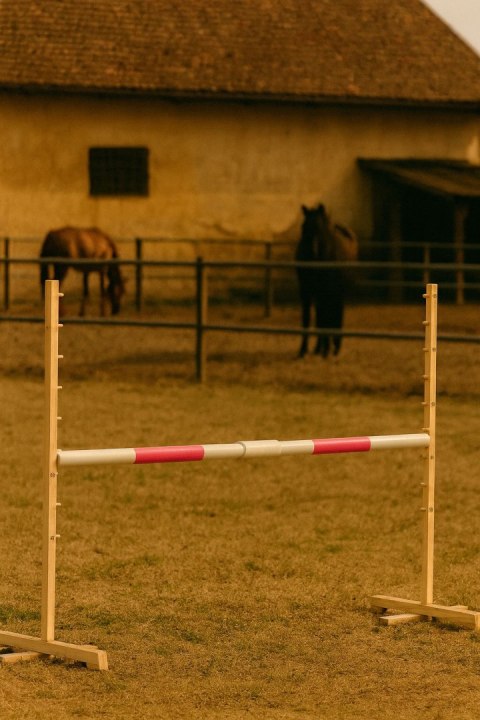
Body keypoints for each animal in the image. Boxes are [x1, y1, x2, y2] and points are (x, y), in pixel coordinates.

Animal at [295, 204, 358, 358]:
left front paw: (326, 349)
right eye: (303, 227)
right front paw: (303, 350)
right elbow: (308, 318)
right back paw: (321, 347)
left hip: (337, 292)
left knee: (334, 313)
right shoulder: (305, 291)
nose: (311, 254)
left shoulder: (326, 291)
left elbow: (325, 318)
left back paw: (332, 346)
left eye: (319, 228)